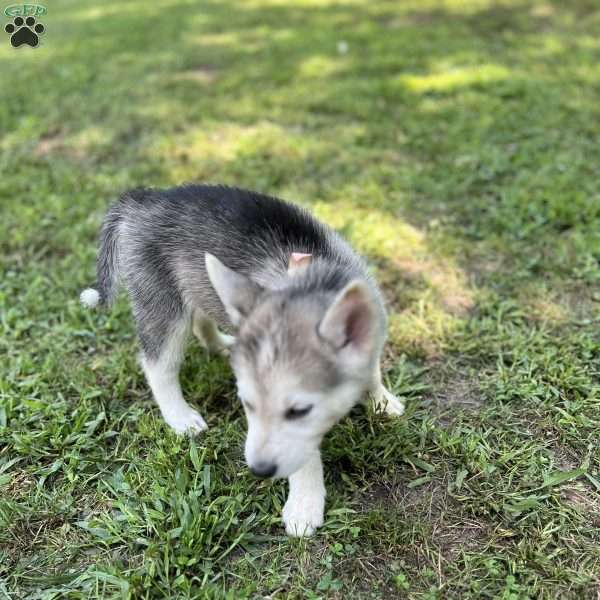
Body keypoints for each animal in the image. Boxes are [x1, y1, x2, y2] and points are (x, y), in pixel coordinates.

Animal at [81, 185, 404, 536]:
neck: (317, 278)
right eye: (247, 404)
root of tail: (144, 198)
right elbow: (304, 456)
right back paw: (179, 416)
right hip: (163, 304)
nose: (258, 470)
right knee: (157, 365)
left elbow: (370, 371)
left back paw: (222, 344)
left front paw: (381, 401)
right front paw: (305, 502)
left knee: (201, 318)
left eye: (299, 410)